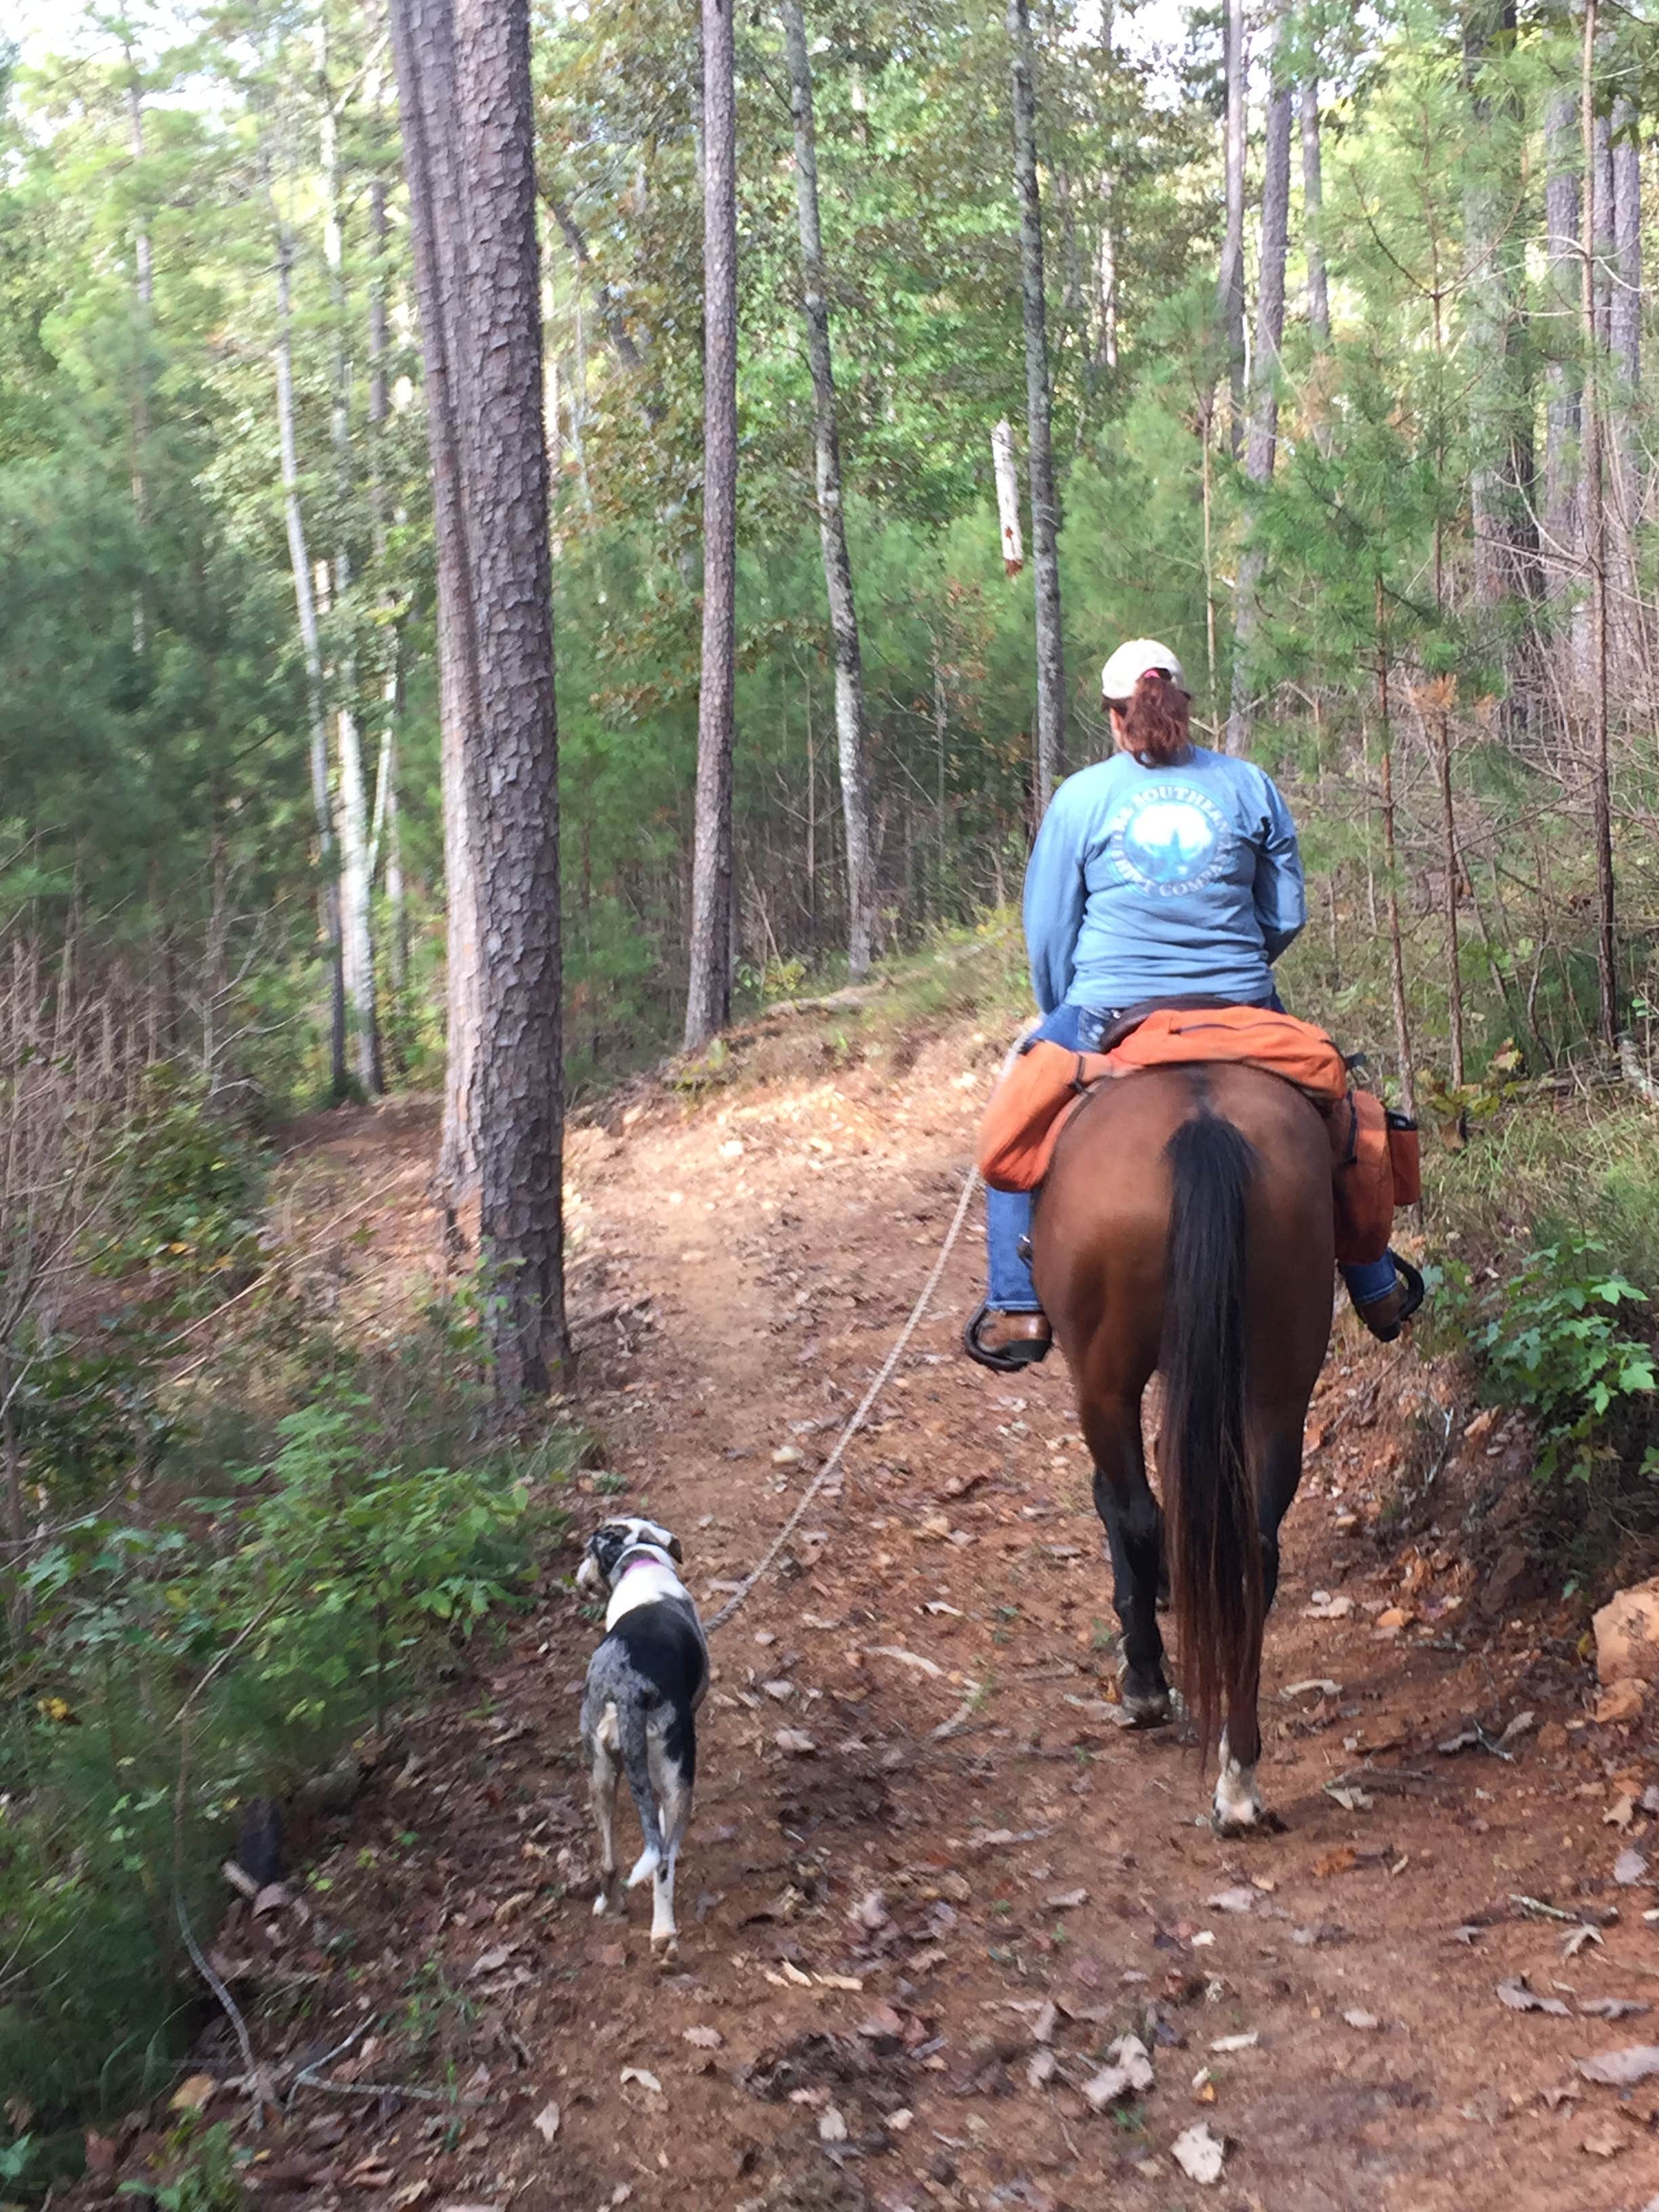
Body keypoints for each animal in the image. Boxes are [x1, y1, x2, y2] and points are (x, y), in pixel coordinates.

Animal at [579, 1513, 708, 1964]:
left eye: (587, 1552)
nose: (578, 1579)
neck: (641, 1561)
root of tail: (627, 1687)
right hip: (677, 1777)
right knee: (664, 1861)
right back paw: (663, 1933)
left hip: (599, 1774)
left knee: (610, 1860)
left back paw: (610, 1904)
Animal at [1040, 1061, 1336, 1822]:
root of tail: (1204, 1125)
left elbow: (1118, 1504)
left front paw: (1142, 1671)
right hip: (1280, 1378)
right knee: (1254, 1549)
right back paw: (1239, 1777)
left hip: (1103, 1380)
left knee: (1138, 1513)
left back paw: (1150, 1686)